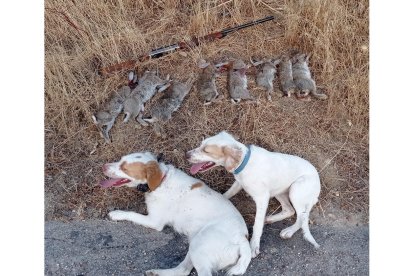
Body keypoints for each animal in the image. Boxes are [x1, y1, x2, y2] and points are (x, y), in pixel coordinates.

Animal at [100, 151, 252, 276]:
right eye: (120, 160)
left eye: (124, 168)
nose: (104, 166)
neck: (161, 181)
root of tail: (242, 239)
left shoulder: (154, 222)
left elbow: (131, 214)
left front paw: (116, 214)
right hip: (195, 244)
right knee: (183, 270)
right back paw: (157, 273)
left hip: (199, 243)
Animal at [186, 131, 322, 256]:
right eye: (201, 144)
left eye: (206, 151)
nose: (186, 154)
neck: (245, 163)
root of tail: (318, 184)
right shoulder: (238, 183)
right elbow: (226, 195)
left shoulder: (262, 198)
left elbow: (257, 224)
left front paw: (254, 245)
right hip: (278, 191)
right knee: (290, 210)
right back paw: (270, 219)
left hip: (295, 189)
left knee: (301, 217)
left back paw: (289, 231)